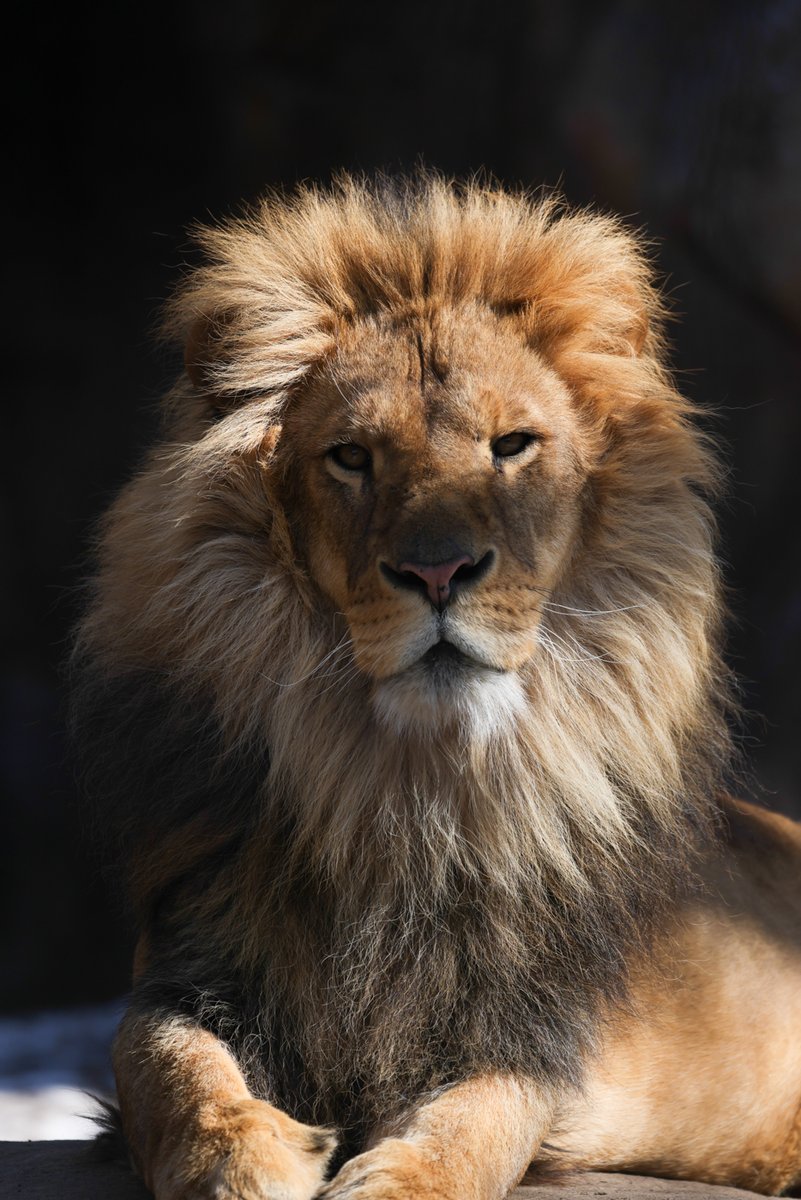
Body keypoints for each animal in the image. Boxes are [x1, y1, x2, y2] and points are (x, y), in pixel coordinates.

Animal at [71, 171, 801, 1200]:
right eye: (351, 457)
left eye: (512, 445)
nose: (438, 570)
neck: (402, 783)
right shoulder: (193, 956)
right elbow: (165, 1066)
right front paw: (242, 1160)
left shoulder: (528, 1026)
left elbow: (472, 1123)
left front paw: (395, 1180)